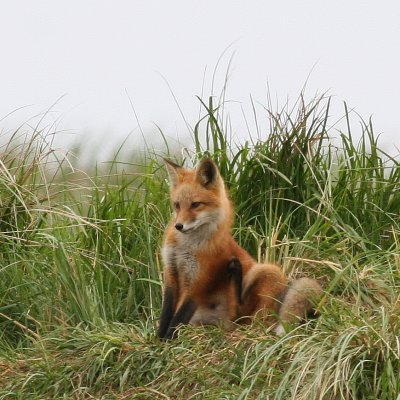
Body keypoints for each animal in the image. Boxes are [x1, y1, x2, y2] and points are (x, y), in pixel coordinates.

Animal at [157, 158, 322, 340]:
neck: (185, 246)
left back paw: (236, 273)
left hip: (266, 271)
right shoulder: (170, 272)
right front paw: (158, 338)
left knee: (240, 311)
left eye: (195, 205)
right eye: (177, 205)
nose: (179, 226)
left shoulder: (198, 281)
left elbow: (178, 318)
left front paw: (167, 340)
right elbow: (166, 313)